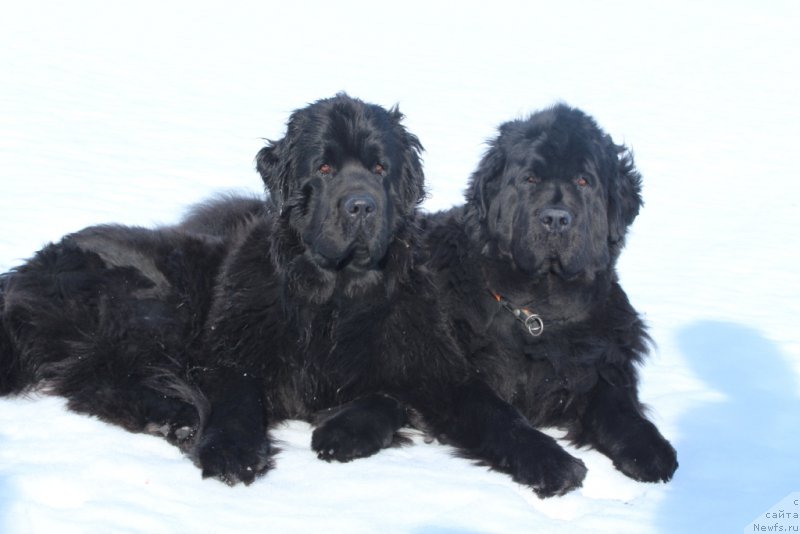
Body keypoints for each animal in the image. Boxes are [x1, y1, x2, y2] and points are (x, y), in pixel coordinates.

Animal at [1, 95, 588, 498]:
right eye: (324, 168)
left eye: (380, 168)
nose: (360, 205)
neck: (333, 300)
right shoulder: (232, 352)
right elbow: (236, 396)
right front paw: (231, 453)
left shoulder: (429, 364)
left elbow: (485, 411)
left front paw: (553, 462)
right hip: (157, 304)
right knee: (96, 376)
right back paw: (178, 415)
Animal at [328, 102, 680, 492]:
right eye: (529, 180)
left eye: (583, 181)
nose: (556, 218)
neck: (536, 313)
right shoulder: (459, 377)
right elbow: (499, 417)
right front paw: (554, 463)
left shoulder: (603, 358)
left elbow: (618, 405)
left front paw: (651, 450)